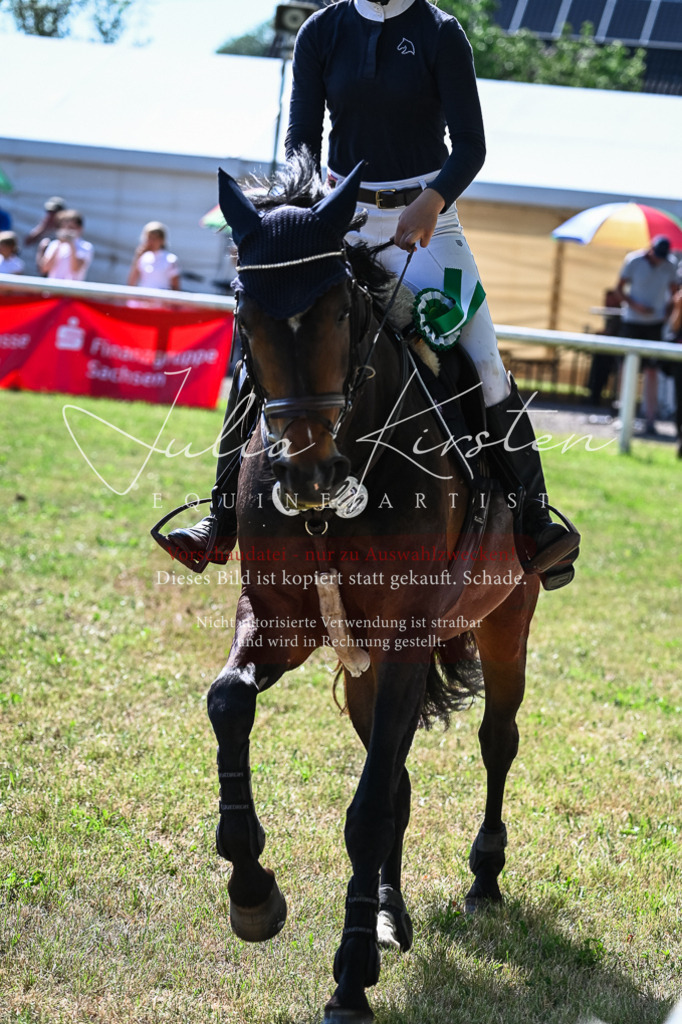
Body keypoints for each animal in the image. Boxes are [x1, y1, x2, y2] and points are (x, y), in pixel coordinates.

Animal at [197, 157, 539, 1023]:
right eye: (244, 313)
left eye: (339, 311)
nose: (309, 477)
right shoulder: (281, 625)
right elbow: (228, 701)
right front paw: (253, 892)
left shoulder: (408, 640)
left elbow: (369, 808)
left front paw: (349, 979)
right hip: (366, 671)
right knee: (404, 776)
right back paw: (389, 911)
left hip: (505, 621)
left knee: (497, 739)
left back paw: (484, 877)